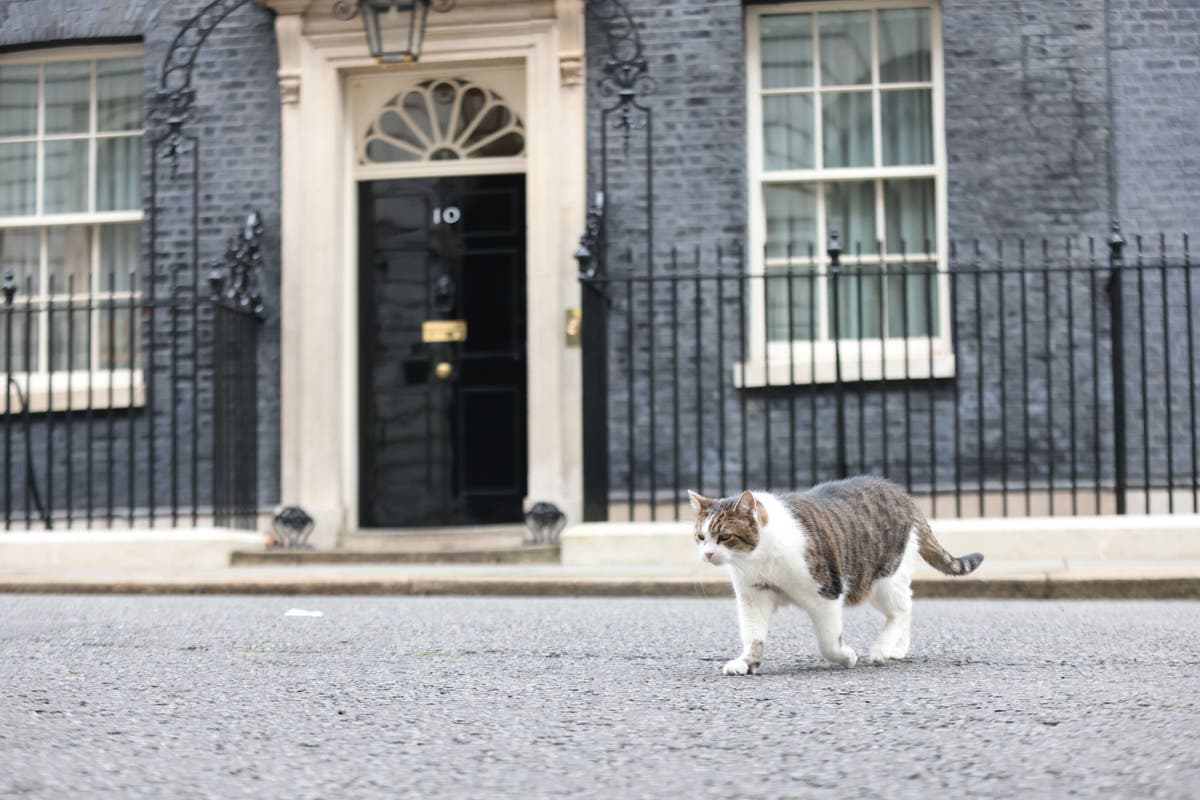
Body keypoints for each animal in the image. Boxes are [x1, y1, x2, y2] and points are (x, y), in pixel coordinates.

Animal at [686, 474, 984, 676]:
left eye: (724, 536)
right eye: (700, 537)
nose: (707, 554)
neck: (759, 560)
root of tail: (903, 495)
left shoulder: (826, 592)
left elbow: (828, 641)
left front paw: (846, 657)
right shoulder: (754, 596)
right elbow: (753, 635)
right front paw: (747, 662)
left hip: (882, 578)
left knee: (901, 608)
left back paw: (882, 649)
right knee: (908, 602)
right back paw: (898, 648)